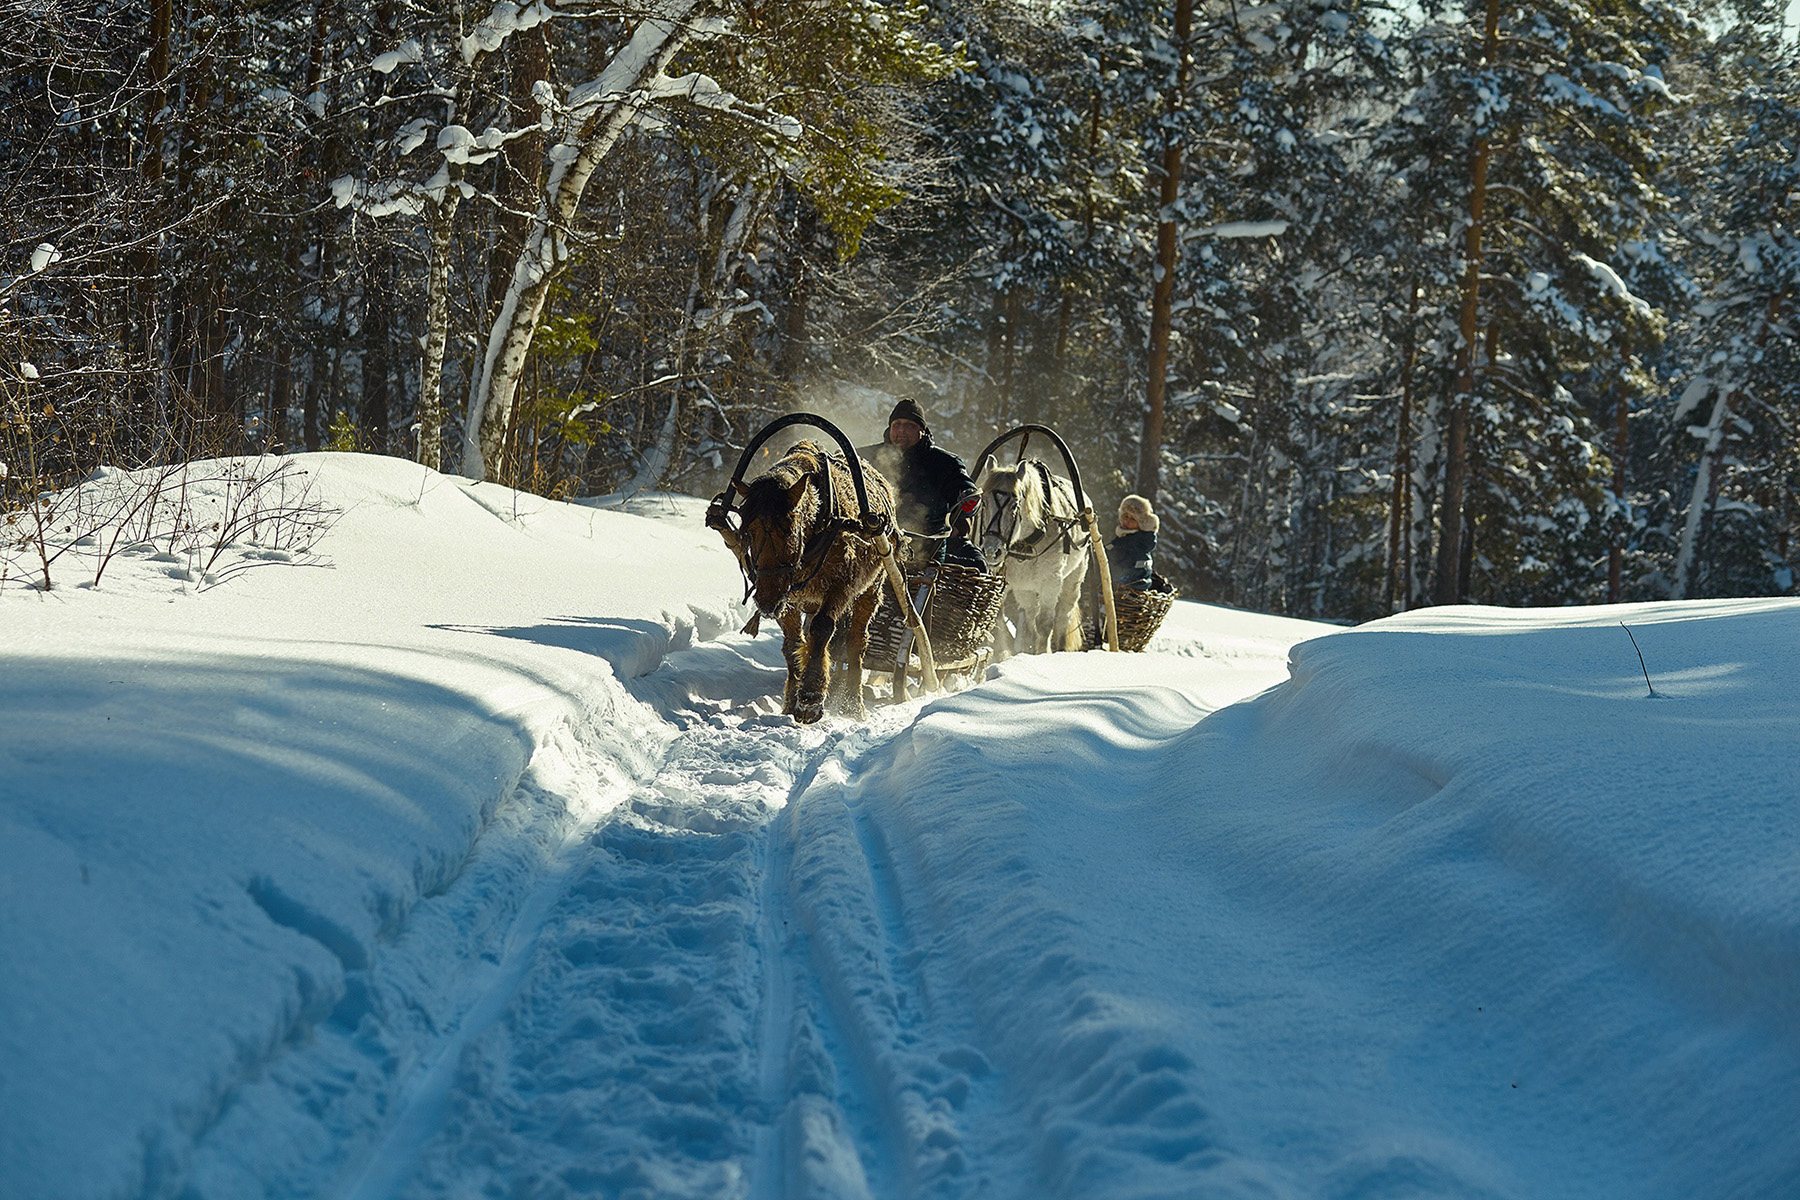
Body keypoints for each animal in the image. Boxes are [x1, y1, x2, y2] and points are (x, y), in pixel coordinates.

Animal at [709, 440, 892, 723]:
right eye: (747, 531)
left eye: (789, 530)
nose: (766, 603)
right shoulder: (788, 597)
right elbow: (794, 643)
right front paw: (790, 703)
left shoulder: (840, 585)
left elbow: (822, 629)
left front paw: (810, 697)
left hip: (871, 589)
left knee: (856, 642)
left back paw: (853, 703)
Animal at [979, 455, 1087, 658]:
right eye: (984, 502)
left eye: (1014, 505)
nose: (991, 551)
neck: (1027, 543)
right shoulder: (1012, 582)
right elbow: (1001, 619)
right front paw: (1006, 650)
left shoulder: (1051, 581)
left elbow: (1044, 623)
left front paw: (1042, 653)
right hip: (1025, 588)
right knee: (1029, 616)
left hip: (1074, 576)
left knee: (1063, 614)